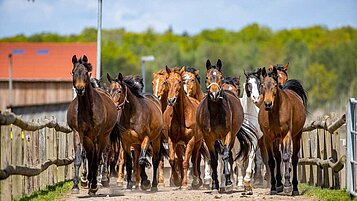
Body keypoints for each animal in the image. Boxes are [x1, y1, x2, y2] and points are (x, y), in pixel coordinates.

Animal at [66, 55, 117, 195]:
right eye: (73, 72)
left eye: (85, 73)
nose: (79, 89)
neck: (87, 109)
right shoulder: (78, 133)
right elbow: (79, 159)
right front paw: (76, 186)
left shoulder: (97, 136)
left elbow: (96, 160)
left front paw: (94, 185)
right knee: (90, 156)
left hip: (104, 136)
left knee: (102, 155)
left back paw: (99, 181)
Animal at [196, 59, 252, 192]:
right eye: (207, 77)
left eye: (220, 77)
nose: (214, 94)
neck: (215, 113)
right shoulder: (209, 138)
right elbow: (214, 159)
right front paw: (215, 184)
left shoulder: (228, 134)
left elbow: (226, 155)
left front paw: (228, 181)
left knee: (227, 154)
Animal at [258, 66, 306, 196]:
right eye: (262, 85)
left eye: (274, 85)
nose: (268, 104)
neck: (275, 113)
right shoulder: (268, 138)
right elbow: (271, 161)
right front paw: (273, 187)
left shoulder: (286, 135)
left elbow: (285, 157)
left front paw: (288, 185)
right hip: (276, 139)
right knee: (277, 157)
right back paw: (279, 185)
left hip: (296, 136)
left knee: (294, 158)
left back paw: (295, 188)